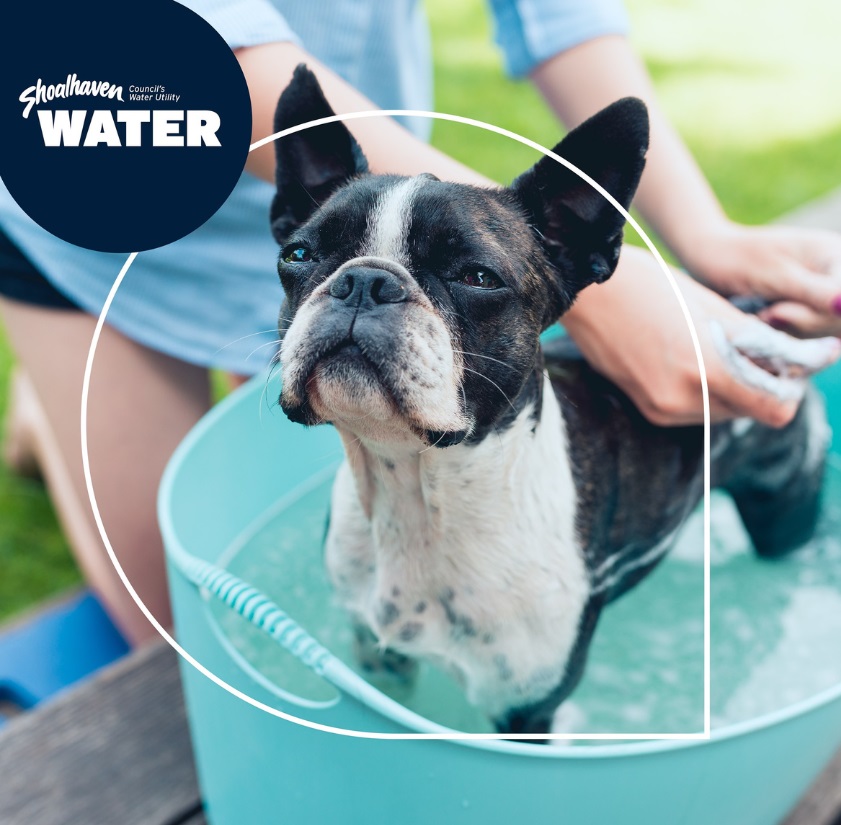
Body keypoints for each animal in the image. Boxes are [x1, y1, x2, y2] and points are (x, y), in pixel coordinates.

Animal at [270, 66, 832, 732]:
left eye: (477, 277)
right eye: (298, 255)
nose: (363, 280)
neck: (419, 490)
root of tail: (750, 313)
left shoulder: (525, 708)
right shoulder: (379, 656)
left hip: (784, 508)